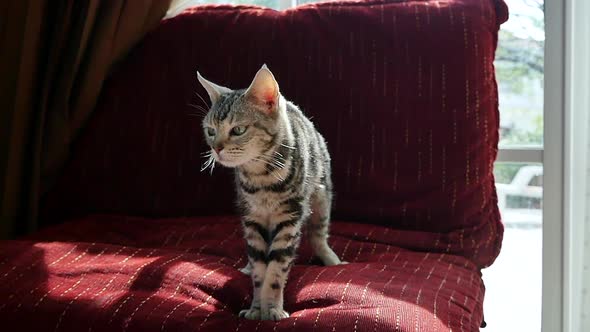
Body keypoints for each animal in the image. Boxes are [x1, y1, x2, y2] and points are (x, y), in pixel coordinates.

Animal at [199, 63, 344, 320]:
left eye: (238, 130)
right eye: (210, 131)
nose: (216, 149)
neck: (261, 178)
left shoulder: (290, 218)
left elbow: (276, 269)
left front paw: (273, 308)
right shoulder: (252, 218)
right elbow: (260, 268)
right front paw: (257, 307)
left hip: (321, 196)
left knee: (318, 235)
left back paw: (331, 259)